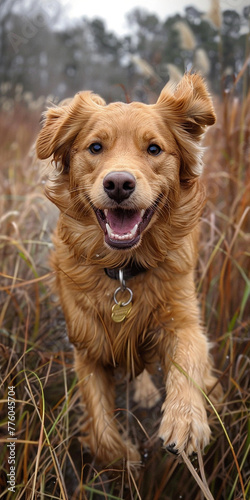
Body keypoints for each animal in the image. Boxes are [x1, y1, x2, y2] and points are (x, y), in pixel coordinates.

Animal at [36, 72, 221, 466]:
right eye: (95, 147)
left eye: (154, 149)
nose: (119, 183)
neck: (124, 269)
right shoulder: (88, 346)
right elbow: (101, 427)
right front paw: (126, 459)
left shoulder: (183, 318)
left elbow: (189, 357)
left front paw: (185, 420)